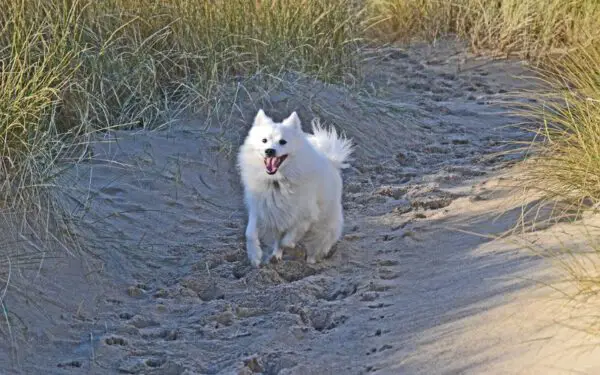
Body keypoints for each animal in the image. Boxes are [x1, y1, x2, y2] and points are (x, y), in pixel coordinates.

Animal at [238, 109, 354, 268]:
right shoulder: (260, 208)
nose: (269, 151)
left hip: (325, 225)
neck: (277, 181)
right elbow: (250, 233)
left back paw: (311, 261)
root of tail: (331, 161)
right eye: (264, 140)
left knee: (317, 245)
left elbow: (288, 239)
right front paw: (255, 256)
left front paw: (289, 246)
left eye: (282, 142)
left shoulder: (304, 215)